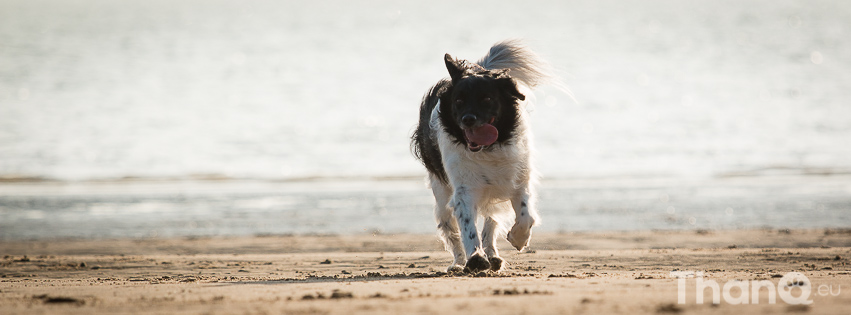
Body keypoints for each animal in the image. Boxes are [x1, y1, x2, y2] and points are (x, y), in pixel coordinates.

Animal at [410, 40, 556, 274]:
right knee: (451, 230)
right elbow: (467, 227)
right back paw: (459, 263)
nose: (468, 119)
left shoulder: (518, 181)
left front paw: (518, 239)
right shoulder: (464, 190)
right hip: (441, 195)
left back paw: (493, 256)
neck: (489, 149)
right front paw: (475, 258)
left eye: (487, 99)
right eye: (458, 101)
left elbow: (526, 215)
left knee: (491, 222)